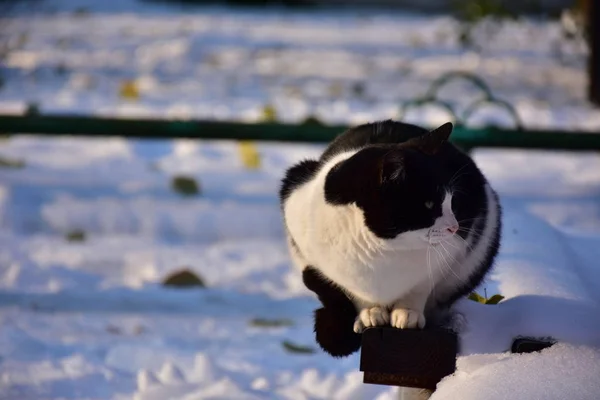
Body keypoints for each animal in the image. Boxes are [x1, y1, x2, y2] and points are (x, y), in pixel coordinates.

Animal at [280, 120, 502, 358]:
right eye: (429, 205)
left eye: (452, 202)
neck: (379, 250)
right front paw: (370, 312)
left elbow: (421, 285)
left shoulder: (454, 251)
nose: (455, 227)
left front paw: (408, 312)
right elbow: (354, 291)